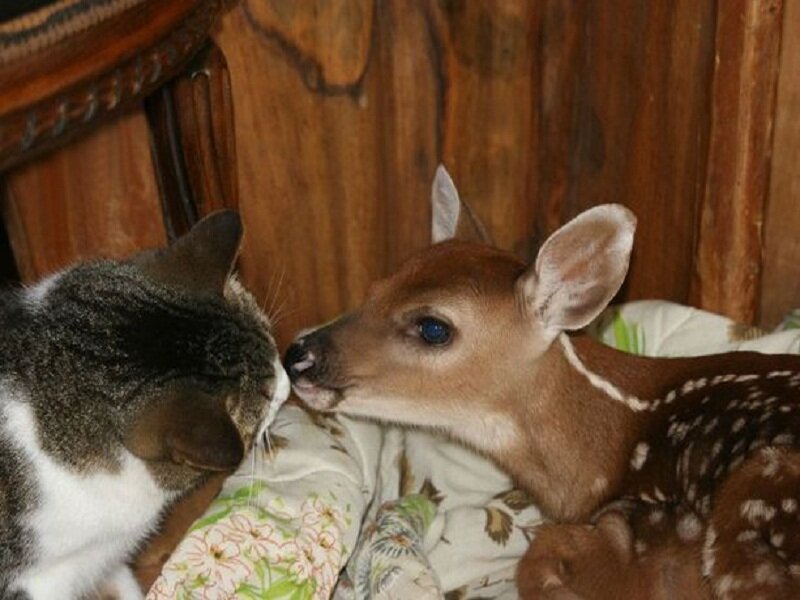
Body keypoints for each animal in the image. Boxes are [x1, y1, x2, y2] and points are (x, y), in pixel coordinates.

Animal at [284, 166, 800, 599]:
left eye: (433, 327)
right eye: (373, 290)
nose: (298, 355)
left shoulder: (635, 526)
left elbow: (539, 557)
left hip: (755, 496)